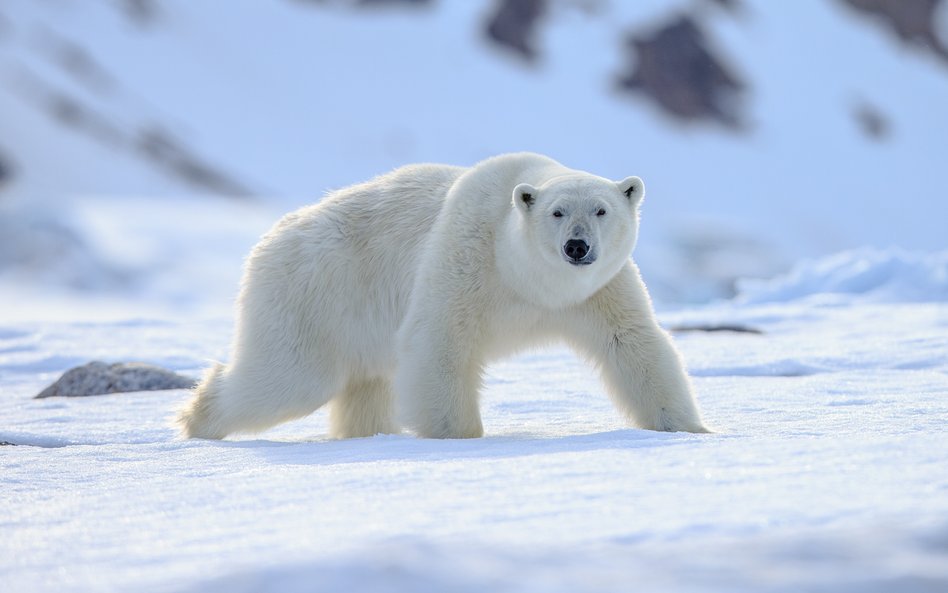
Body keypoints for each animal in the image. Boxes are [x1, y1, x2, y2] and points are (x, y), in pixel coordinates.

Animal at [180, 153, 712, 440]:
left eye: (601, 210)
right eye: (558, 212)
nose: (577, 247)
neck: (526, 279)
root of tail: (271, 237)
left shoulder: (598, 291)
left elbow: (634, 345)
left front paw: (690, 429)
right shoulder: (466, 257)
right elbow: (439, 341)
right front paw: (459, 437)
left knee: (365, 385)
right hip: (314, 294)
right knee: (289, 377)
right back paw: (196, 419)